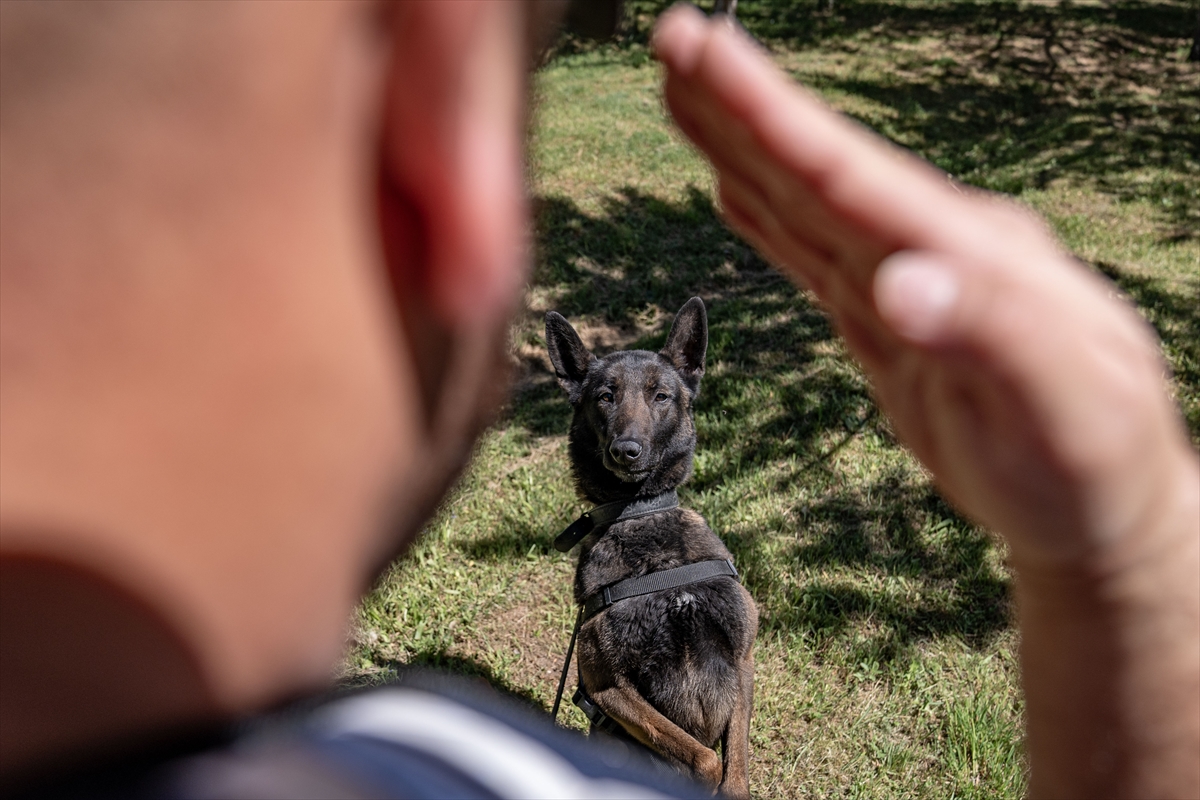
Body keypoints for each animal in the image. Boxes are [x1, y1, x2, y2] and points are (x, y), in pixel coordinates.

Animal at [547, 297, 753, 796]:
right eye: (605, 396)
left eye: (661, 396)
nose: (627, 450)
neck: (643, 517)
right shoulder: (607, 687)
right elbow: (704, 760)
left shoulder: (743, 663)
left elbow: (733, 772)